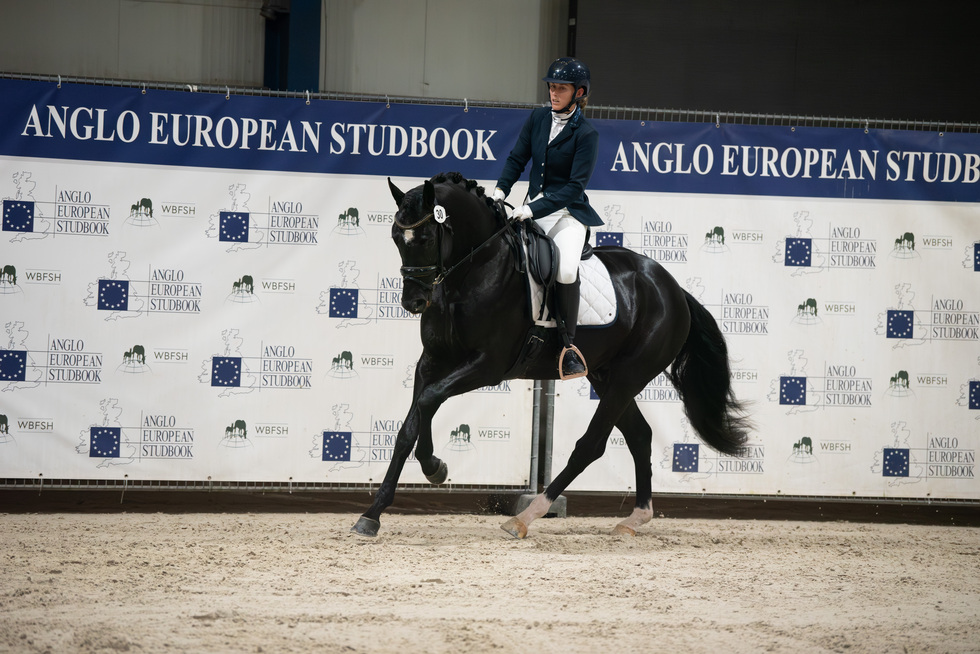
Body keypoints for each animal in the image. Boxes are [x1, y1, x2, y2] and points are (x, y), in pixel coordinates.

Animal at [350, 172, 750, 538]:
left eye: (426, 238)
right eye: (395, 237)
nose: (413, 302)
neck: (472, 271)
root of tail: (673, 288)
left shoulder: (488, 366)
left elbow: (429, 401)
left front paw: (434, 466)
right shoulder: (432, 362)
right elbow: (410, 426)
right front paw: (374, 512)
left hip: (629, 376)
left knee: (591, 445)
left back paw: (526, 516)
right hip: (606, 376)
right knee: (639, 435)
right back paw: (634, 519)